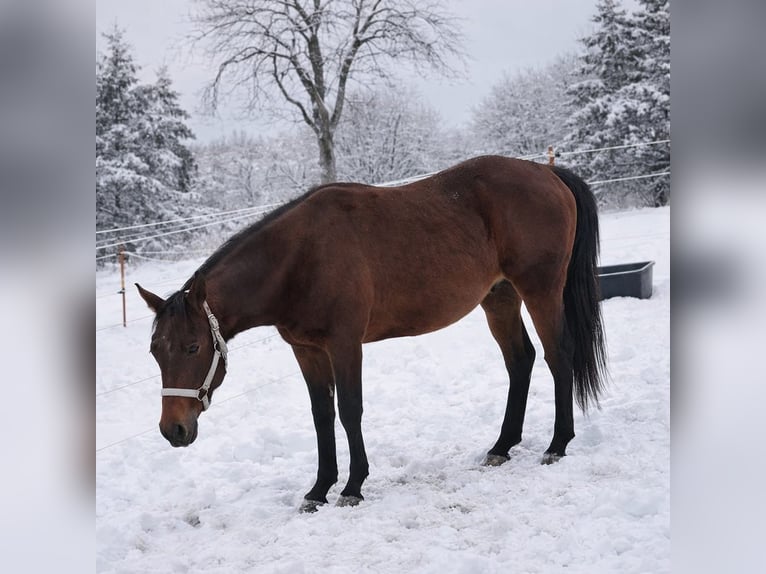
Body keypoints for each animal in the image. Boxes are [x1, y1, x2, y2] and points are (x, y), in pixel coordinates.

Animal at [136, 155, 606, 512]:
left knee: (557, 356)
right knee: (520, 361)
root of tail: (546, 172)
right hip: (500, 298)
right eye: (156, 352)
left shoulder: (345, 345)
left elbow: (350, 411)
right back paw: (502, 446)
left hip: (541, 290)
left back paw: (557, 443)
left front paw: (352, 486)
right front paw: (318, 489)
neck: (300, 257)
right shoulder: (307, 351)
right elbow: (321, 416)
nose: (173, 429)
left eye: (193, 346)